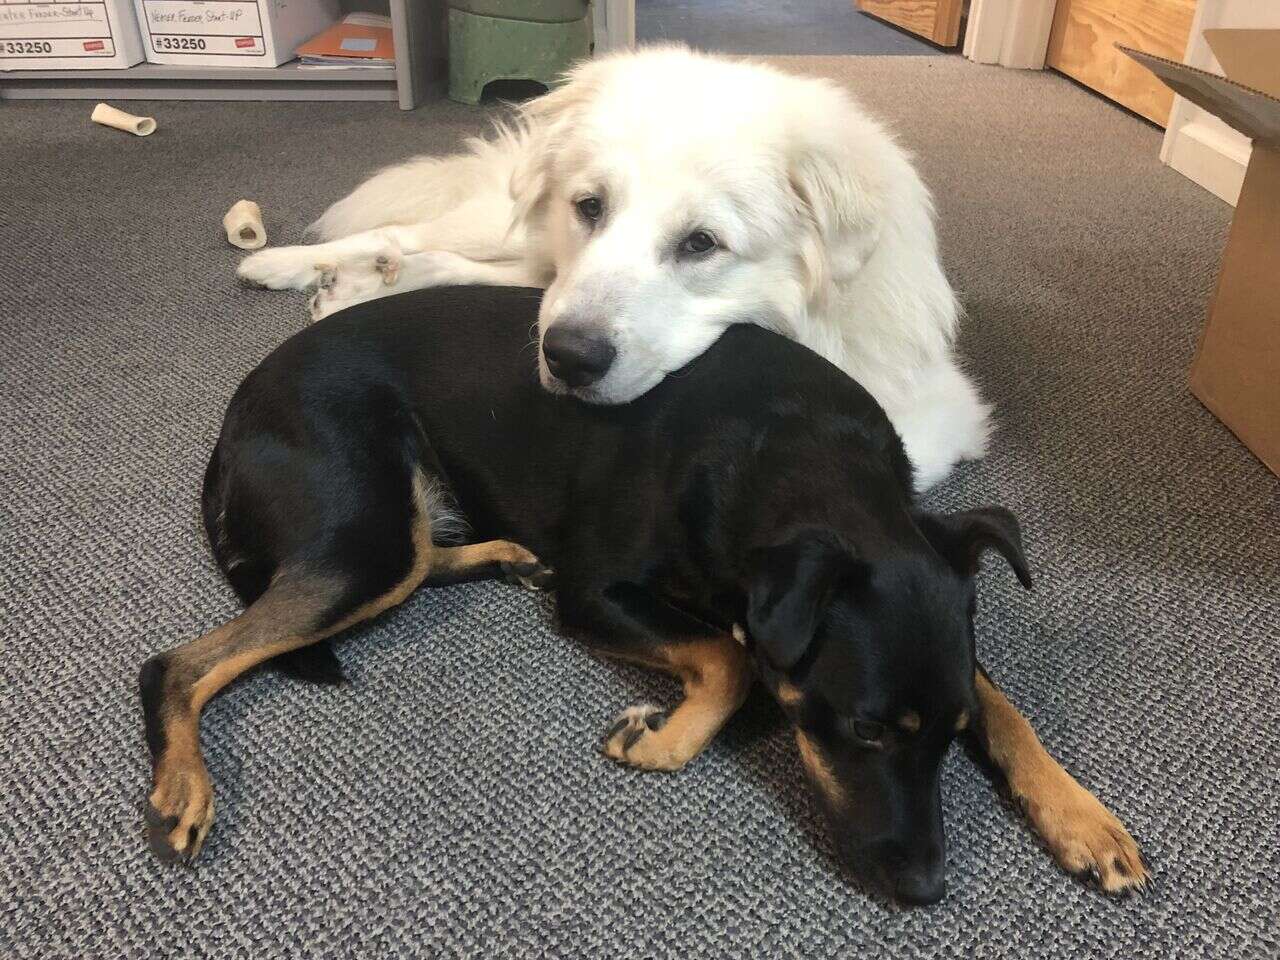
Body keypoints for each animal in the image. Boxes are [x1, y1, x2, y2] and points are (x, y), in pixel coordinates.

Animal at [140, 284, 1152, 901]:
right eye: (864, 731)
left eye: (946, 739)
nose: (927, 892)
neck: (798, 455)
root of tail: (236, 409)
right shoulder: (599, 591)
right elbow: (730, 662)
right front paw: (662, 740)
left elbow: (1005, 708)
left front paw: (1082, 818)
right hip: (365, 540)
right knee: (176, 663)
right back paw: (183, 784)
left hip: (388, 535)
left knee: (426, 557)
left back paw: (505, 553)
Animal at [235, 44, 983, 488]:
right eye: (590, 206)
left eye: (701, 244)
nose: (569, 358)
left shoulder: (927, 415)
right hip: (511, 236)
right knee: (406, 231)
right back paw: (284, 263)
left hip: (528, 270)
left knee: (453, 265)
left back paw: (362, 283)